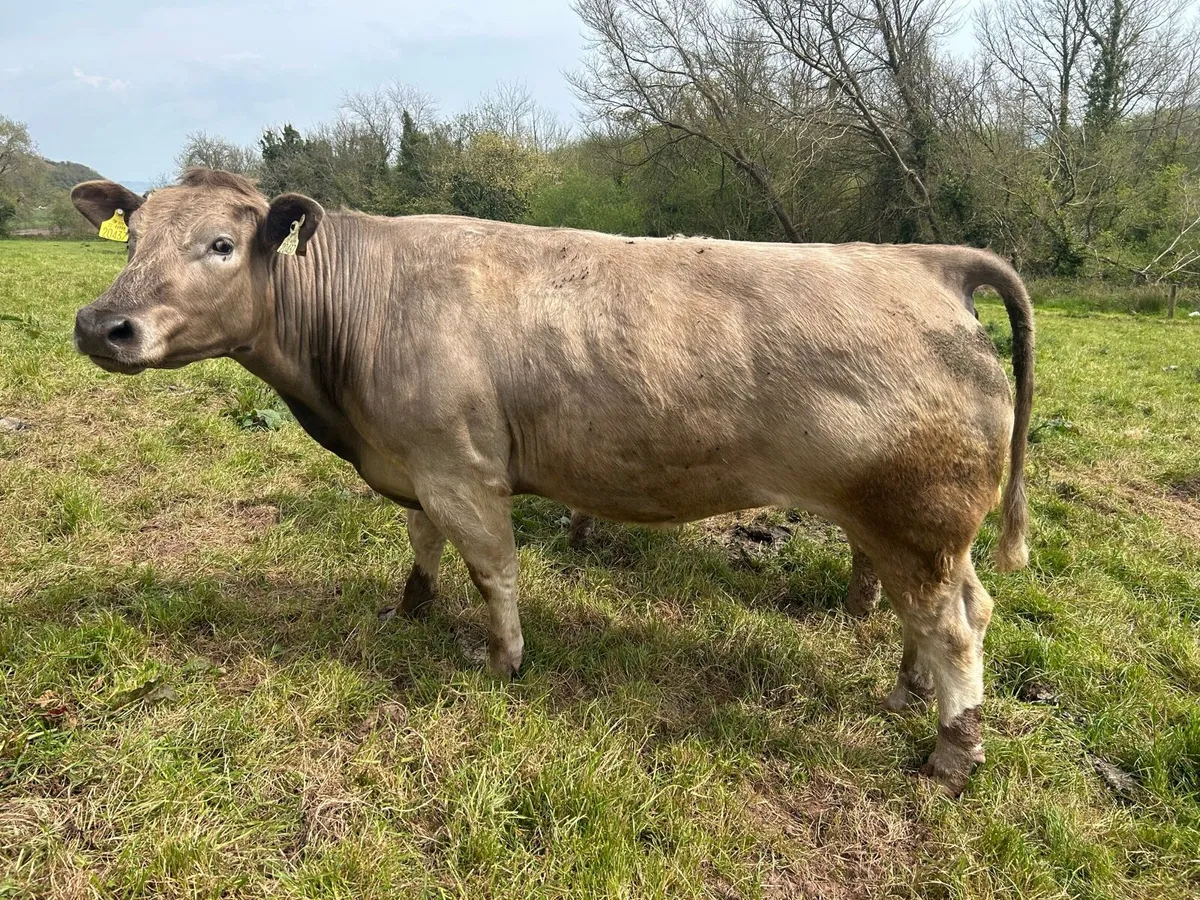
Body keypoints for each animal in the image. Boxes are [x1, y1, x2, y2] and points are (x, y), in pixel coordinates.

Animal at [70, 169, 1033, 794]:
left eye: (222, 245)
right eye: (135, 238)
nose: (101, 324)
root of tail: (927, 260)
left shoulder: (463, 468)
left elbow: (492, 570)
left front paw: (502, 660)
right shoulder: (414, 463)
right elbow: (422, 545)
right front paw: (410, 610)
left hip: (913, 515)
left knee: (953, 627)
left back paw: (951, 754)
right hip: (915, 527)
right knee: (963, 606)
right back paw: (910, 690)